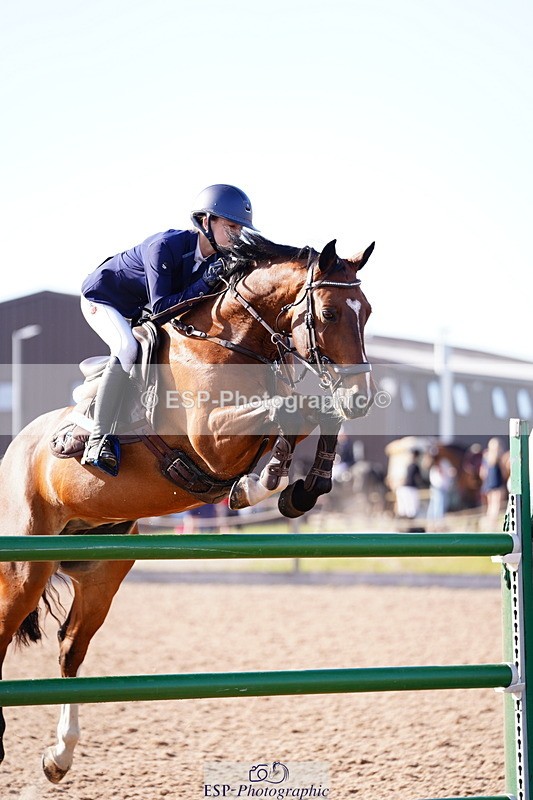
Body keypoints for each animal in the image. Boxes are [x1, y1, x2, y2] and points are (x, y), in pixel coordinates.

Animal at [0, 232, 375, 782]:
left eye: (366, 312)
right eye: (328, 313)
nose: (363, 398)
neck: (233, 340)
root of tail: (13, 452)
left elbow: (310, 413)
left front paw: (290, 486)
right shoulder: (213, 437)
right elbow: (297, 407)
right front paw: (266, 482)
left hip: (102, 567)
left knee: (71, 647)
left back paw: (60, 755)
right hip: (25, 566)